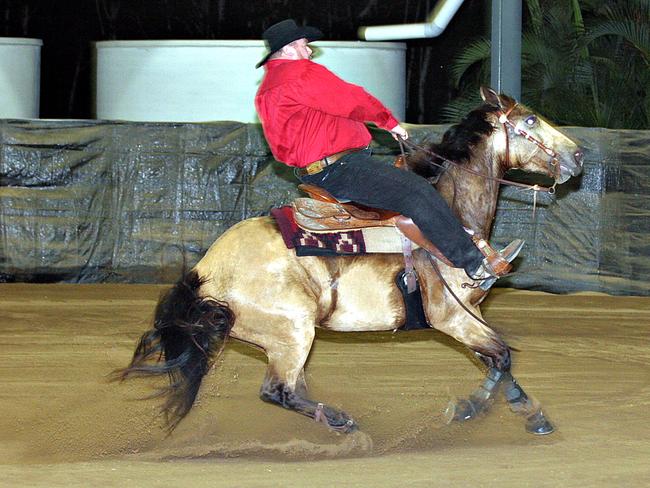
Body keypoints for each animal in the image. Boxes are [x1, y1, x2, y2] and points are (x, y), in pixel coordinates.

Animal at [115, 86, 584, 436]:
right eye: (530, 121)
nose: (578, 156)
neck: (452, 213)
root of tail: (205, 271)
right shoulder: (451, 317)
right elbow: (501, 355)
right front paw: (487, 410)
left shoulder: (470, 315)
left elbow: (496, 360)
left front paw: (515, 411)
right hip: (293, 333)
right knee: (278, 390)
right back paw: (341, 420)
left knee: (291, 389)